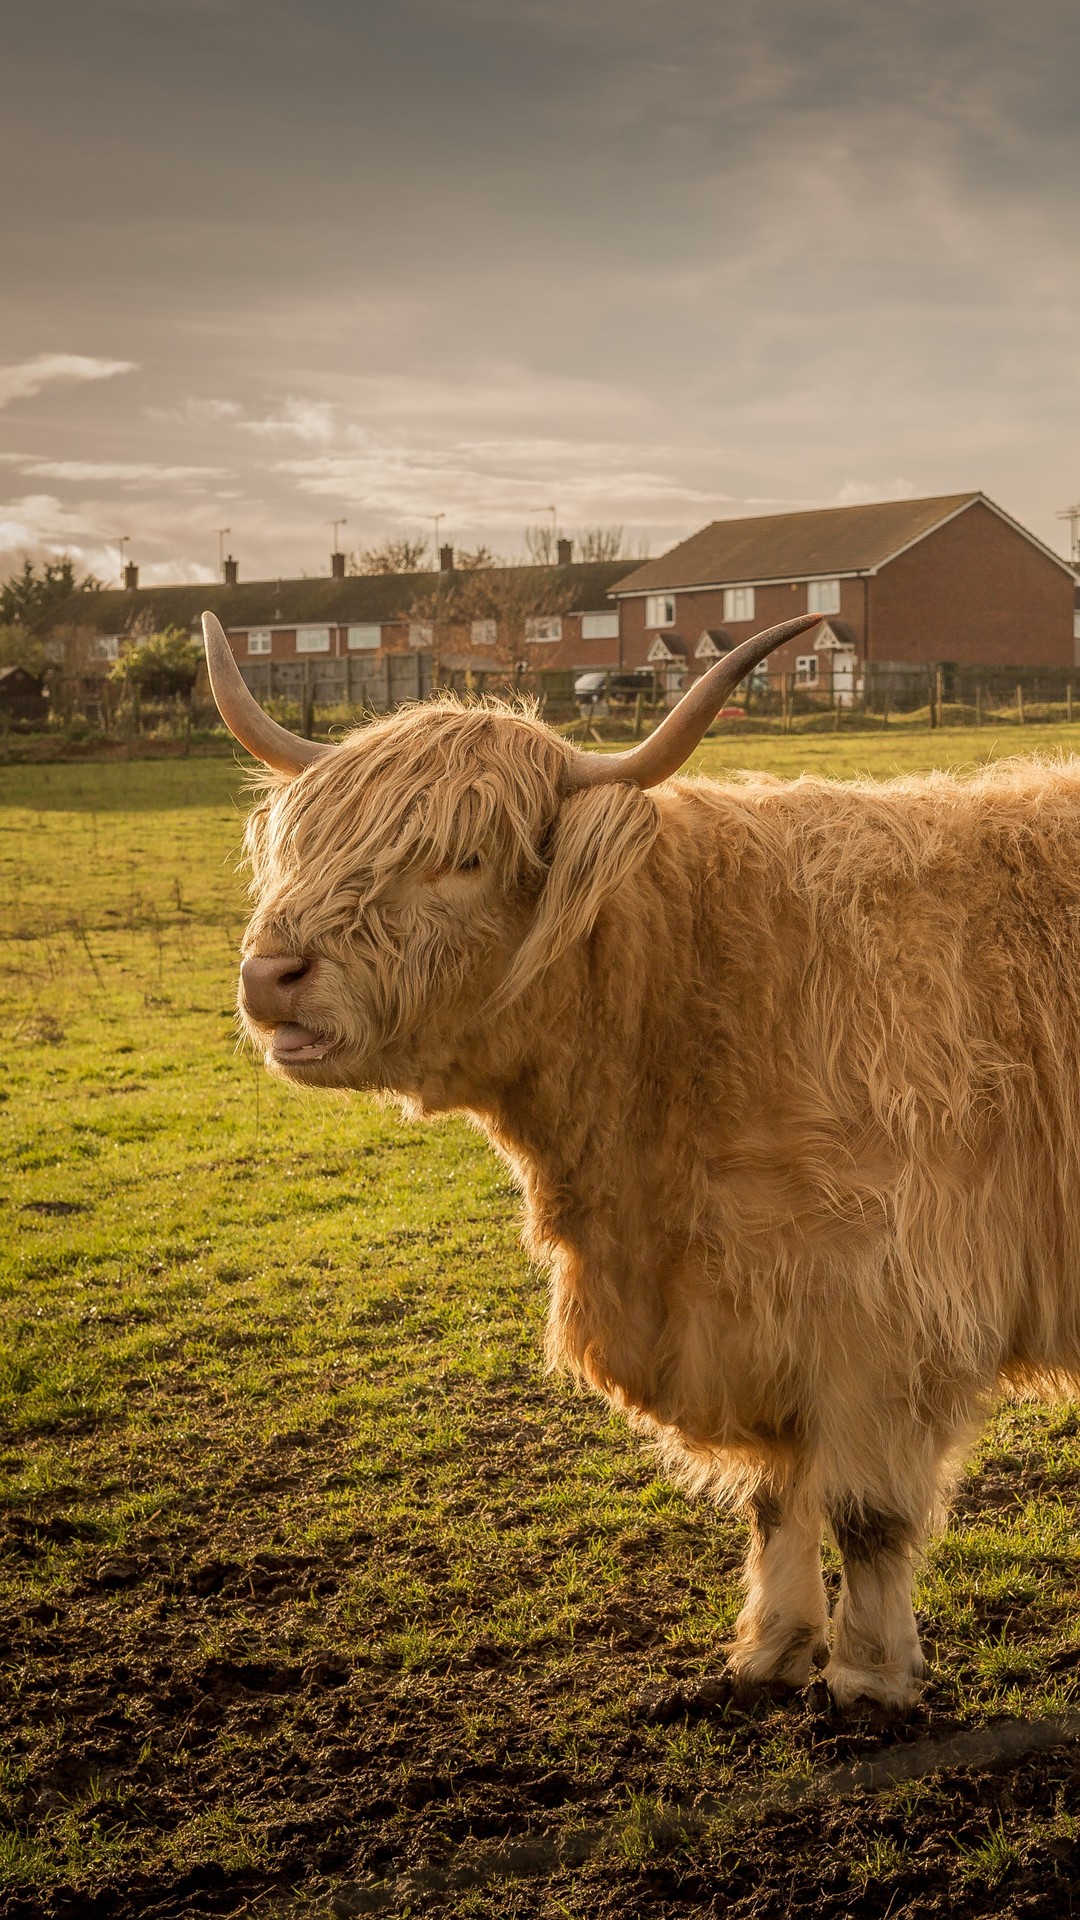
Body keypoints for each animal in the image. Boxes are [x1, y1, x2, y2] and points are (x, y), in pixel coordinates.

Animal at [202, 608, 1080, 1712]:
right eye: (307, 844)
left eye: (464, 859)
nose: (269, 974)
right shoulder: (746, 1314)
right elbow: (773, 1499)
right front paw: (770, 1651)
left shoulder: (881, 1307)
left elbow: (868, 1514)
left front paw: (868, 1674)